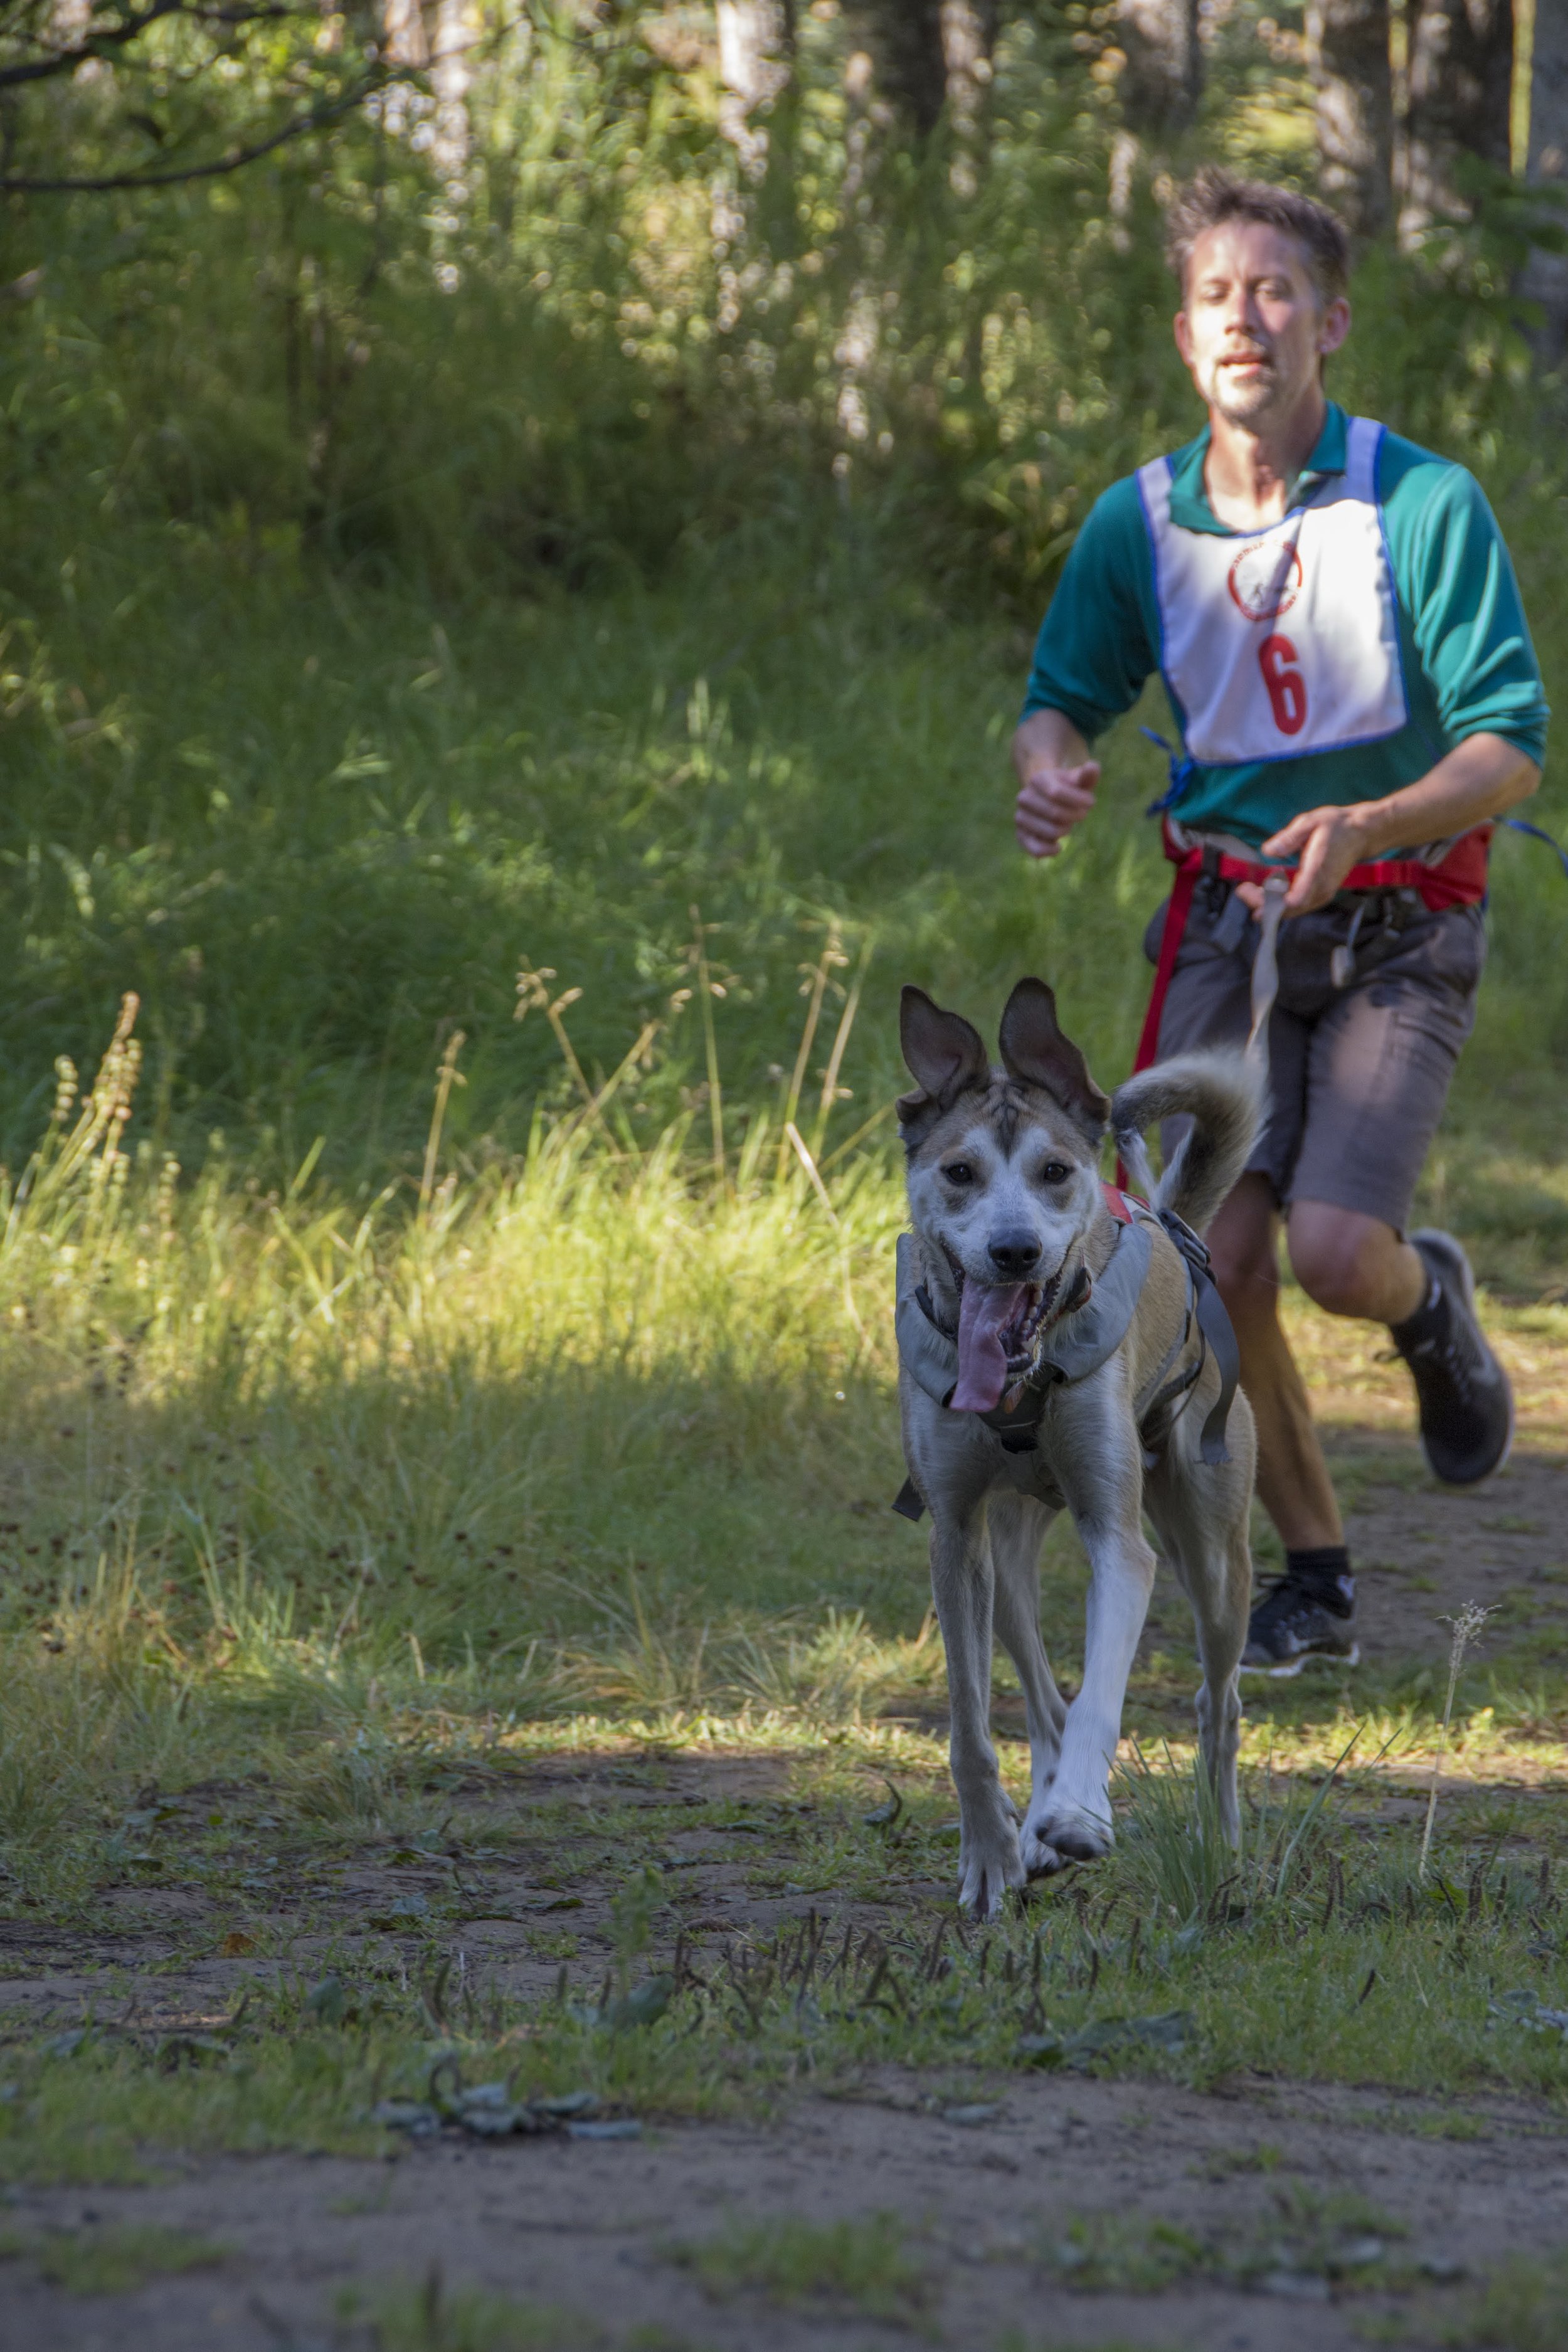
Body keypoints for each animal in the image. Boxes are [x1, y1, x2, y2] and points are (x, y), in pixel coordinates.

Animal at [893, 973, 1259, 1910]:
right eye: (959, 1172)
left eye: (1054, 1172)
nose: (1014, 1250)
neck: (1021, 1381)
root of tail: (1175, 1230)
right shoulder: (954, 1539)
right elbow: (973, 1731)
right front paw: (992, 1856)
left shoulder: (1120, 1542)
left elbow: (1101, 1693)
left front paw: (1079, 1817)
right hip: (1009, 1562)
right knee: (1043, 1699)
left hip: (1214, 1556)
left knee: (1218, 1704)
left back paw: (1221, 1840)